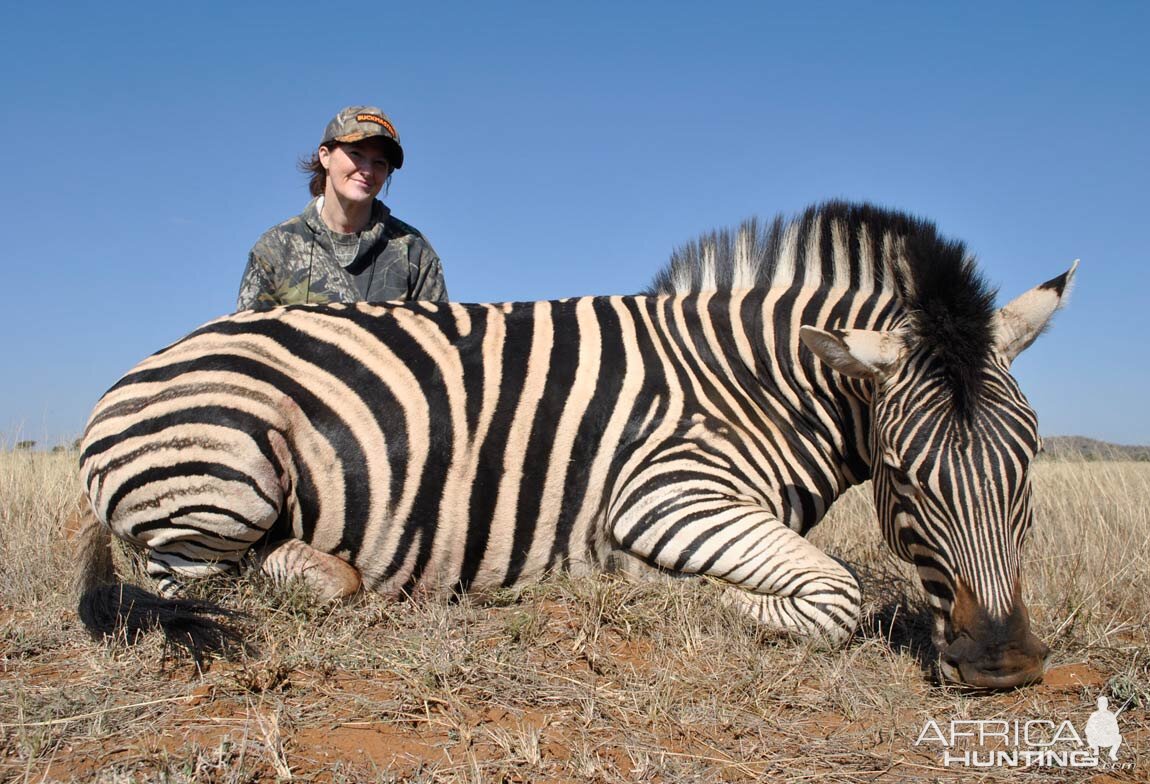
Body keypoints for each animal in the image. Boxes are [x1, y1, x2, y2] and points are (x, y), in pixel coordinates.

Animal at [76, 200, 1071, 685]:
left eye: (1029, 465)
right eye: (906, 476)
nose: (1004, 664)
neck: (757, 382)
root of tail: (134, 375)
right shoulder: (666, 491)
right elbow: (839, 594)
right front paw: (656, 591)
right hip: (232, 472)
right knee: (199, 582)